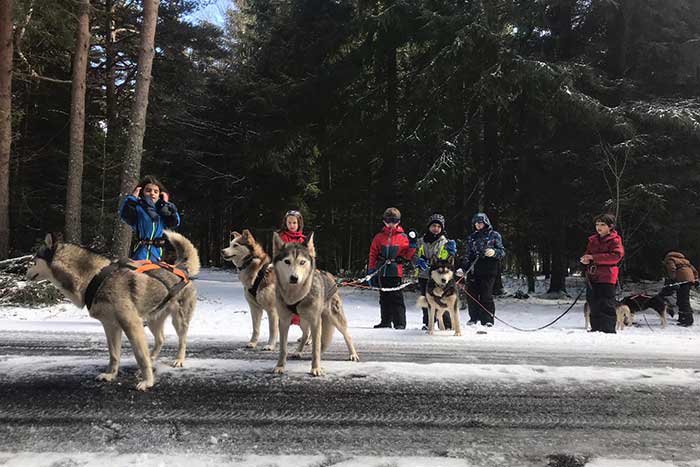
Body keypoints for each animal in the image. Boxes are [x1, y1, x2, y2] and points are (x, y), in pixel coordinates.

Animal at [25, 231, 200, 392]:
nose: (24, 274)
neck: (94, 277)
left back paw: (178, 360)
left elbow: (140, 356)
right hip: (152, 320)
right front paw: (110, 375)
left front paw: (148, 382)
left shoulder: (131, 324)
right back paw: (152, 359)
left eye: (34, 260)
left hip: (178, 321)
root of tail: (180, 267)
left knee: (182, 340)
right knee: (161, 339)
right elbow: (114, 355)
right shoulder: (110, 326)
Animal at [270, 232, 358, 378]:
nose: (294, 278)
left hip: (334, 317)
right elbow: (283, 348)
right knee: (305, 335)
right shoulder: (284, 321)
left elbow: (315, 349)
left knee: (347, 335)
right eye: (287, 261)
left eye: (302, 262)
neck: (295, 296)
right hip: (302, 321)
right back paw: (298, 352)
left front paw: (316, 369)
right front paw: (280, 366)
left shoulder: (316, 322)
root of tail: (329, 275)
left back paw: (353, 354)